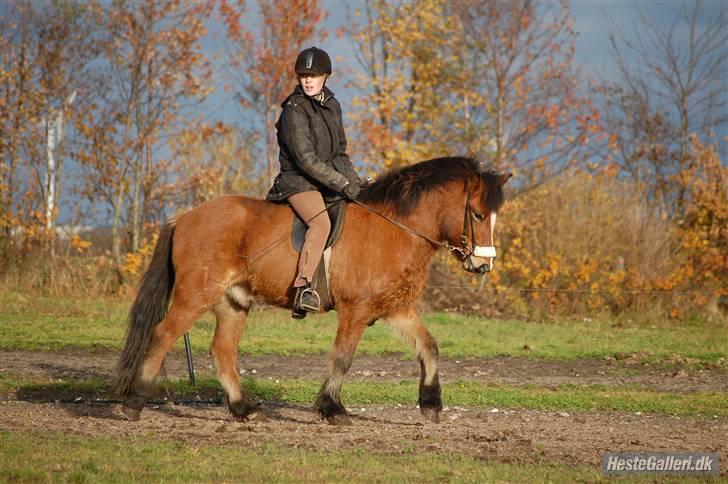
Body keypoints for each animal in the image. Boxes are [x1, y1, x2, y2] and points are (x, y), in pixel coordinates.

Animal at [115, 156, 512, 424]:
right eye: (477, 214)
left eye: (494, 216)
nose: (483, 264)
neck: (395, 228)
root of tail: (184, 217)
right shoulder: (356, 311)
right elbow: (342, 358)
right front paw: (331, 408)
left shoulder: (396, 308)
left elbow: (429, 347)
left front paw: (430, 404)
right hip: (195, 295)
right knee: (162, 334)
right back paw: (134, 402)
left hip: (233, 301)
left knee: (222, 351)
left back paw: (245, 409)